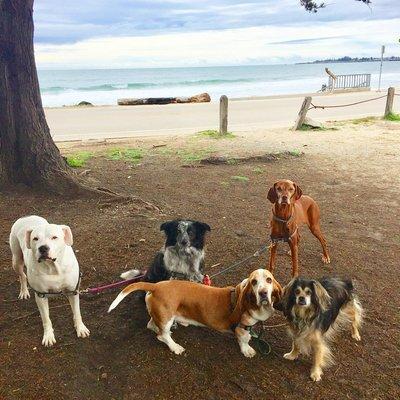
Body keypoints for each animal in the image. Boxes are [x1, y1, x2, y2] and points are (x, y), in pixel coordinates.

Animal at [9, 216, 90, 346]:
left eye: (54, 237)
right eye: (35, 238)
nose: (43, 248)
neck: (52, 267)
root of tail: (26, 217)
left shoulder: (73, 291)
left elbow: (77, 312)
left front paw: (81, 328)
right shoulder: (40, 295)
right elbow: (46, 318)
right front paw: (48, 336)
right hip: (16, 259)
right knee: (22, 275)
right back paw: (24, 291)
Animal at [107, 268, 282, 356]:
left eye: (269, 280)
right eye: (254, 282)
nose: (263, 293)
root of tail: (156, 286)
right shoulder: (241, 327)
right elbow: (244, 339)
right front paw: (247, 350)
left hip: (163, 316)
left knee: (152, 325)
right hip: (167, 317)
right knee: (162, 335)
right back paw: (175, 347)